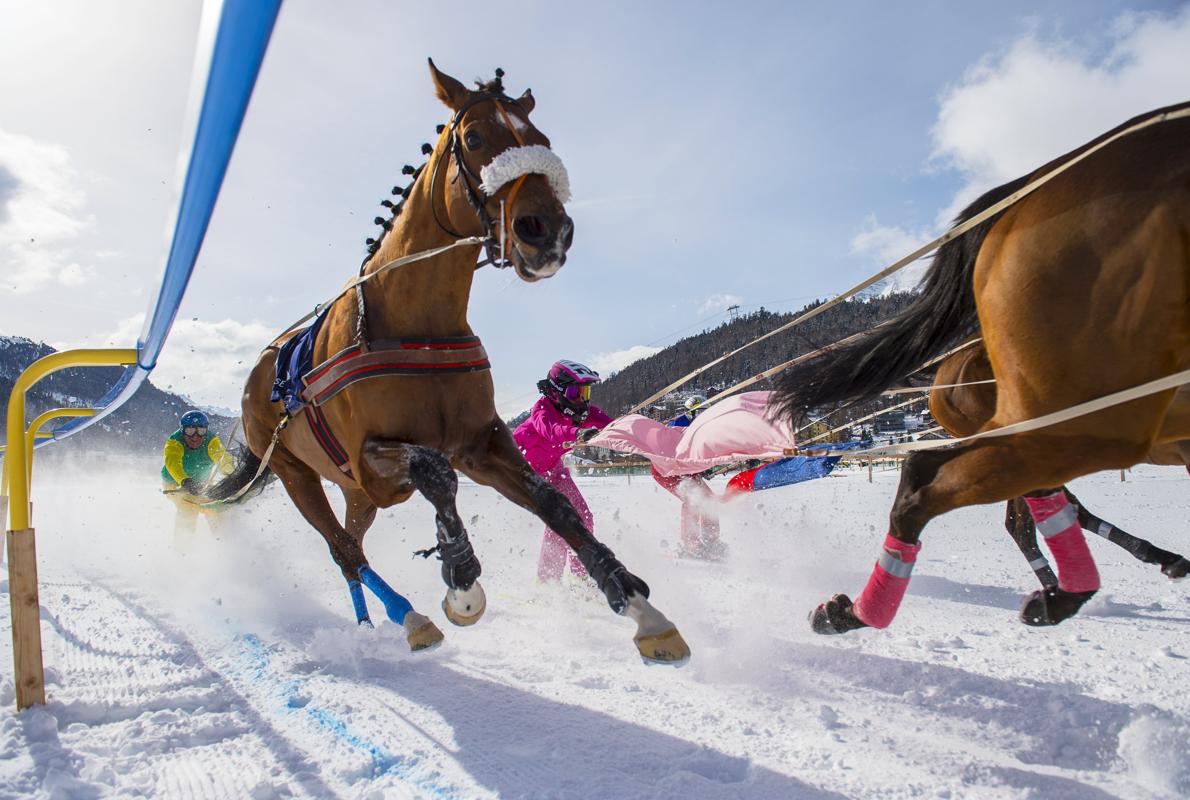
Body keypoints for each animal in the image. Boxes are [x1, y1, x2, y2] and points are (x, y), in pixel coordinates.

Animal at [218, 61, 694, 661]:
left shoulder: (479, 444)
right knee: (344, 548)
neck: (415, 326)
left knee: (352, 544)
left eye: (542, 141)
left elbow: (553, 504)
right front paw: (462, 579)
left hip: (356, 494)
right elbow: (434, 471)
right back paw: (408, 616)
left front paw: (634, 602)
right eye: (473, 138)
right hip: (296, 473)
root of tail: (258, 376)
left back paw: (370, 618)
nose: (547, 230)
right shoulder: (372, 457)